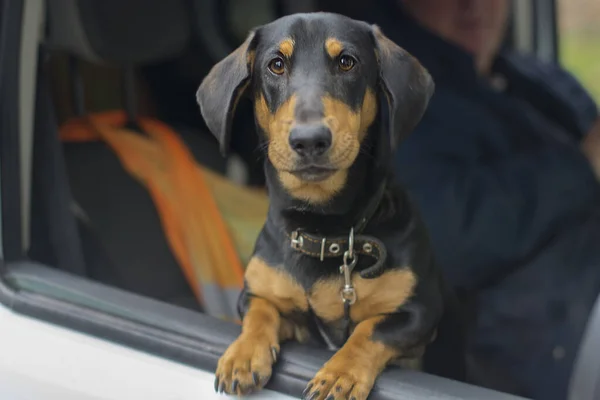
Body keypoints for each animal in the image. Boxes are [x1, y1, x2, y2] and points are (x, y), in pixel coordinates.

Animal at [195, 10, 462, 398]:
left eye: (347, 62)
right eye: (276, 65)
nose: (309, 140)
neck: (324, 229)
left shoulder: (419, 312)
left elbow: (369, 331)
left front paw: (340, 373)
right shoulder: (258, 291)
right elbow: (260, 311)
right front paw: (243, 356)